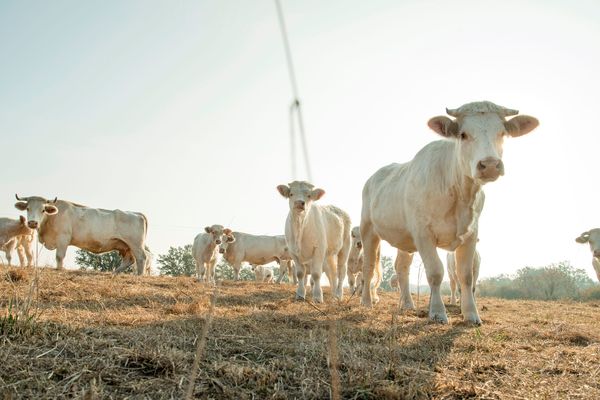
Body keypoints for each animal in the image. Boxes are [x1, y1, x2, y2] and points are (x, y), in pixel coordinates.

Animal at [14, 195, 150, 276]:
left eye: (43, 210)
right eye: (28, 208)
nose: (33, 222)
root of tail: (137, 213)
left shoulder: (63, 239)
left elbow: (59, 257)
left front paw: (59, 269)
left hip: (135, 244)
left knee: (141, 258)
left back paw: (139, 275)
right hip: (125, 246)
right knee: (129, 260)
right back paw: (114, 273)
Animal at [358, 101, 536, 324]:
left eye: (502, 132)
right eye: (463, 134)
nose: (489, 165)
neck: (460, 193)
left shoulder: (471, 233)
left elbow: (466, 276)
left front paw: (471, 314)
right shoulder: (423, 233)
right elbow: (435, 272)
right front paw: (437, 312)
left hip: (404, 238)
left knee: (402, 268)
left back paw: (407, 304)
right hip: (368, 229)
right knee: (368, 266)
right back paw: (366, 302)